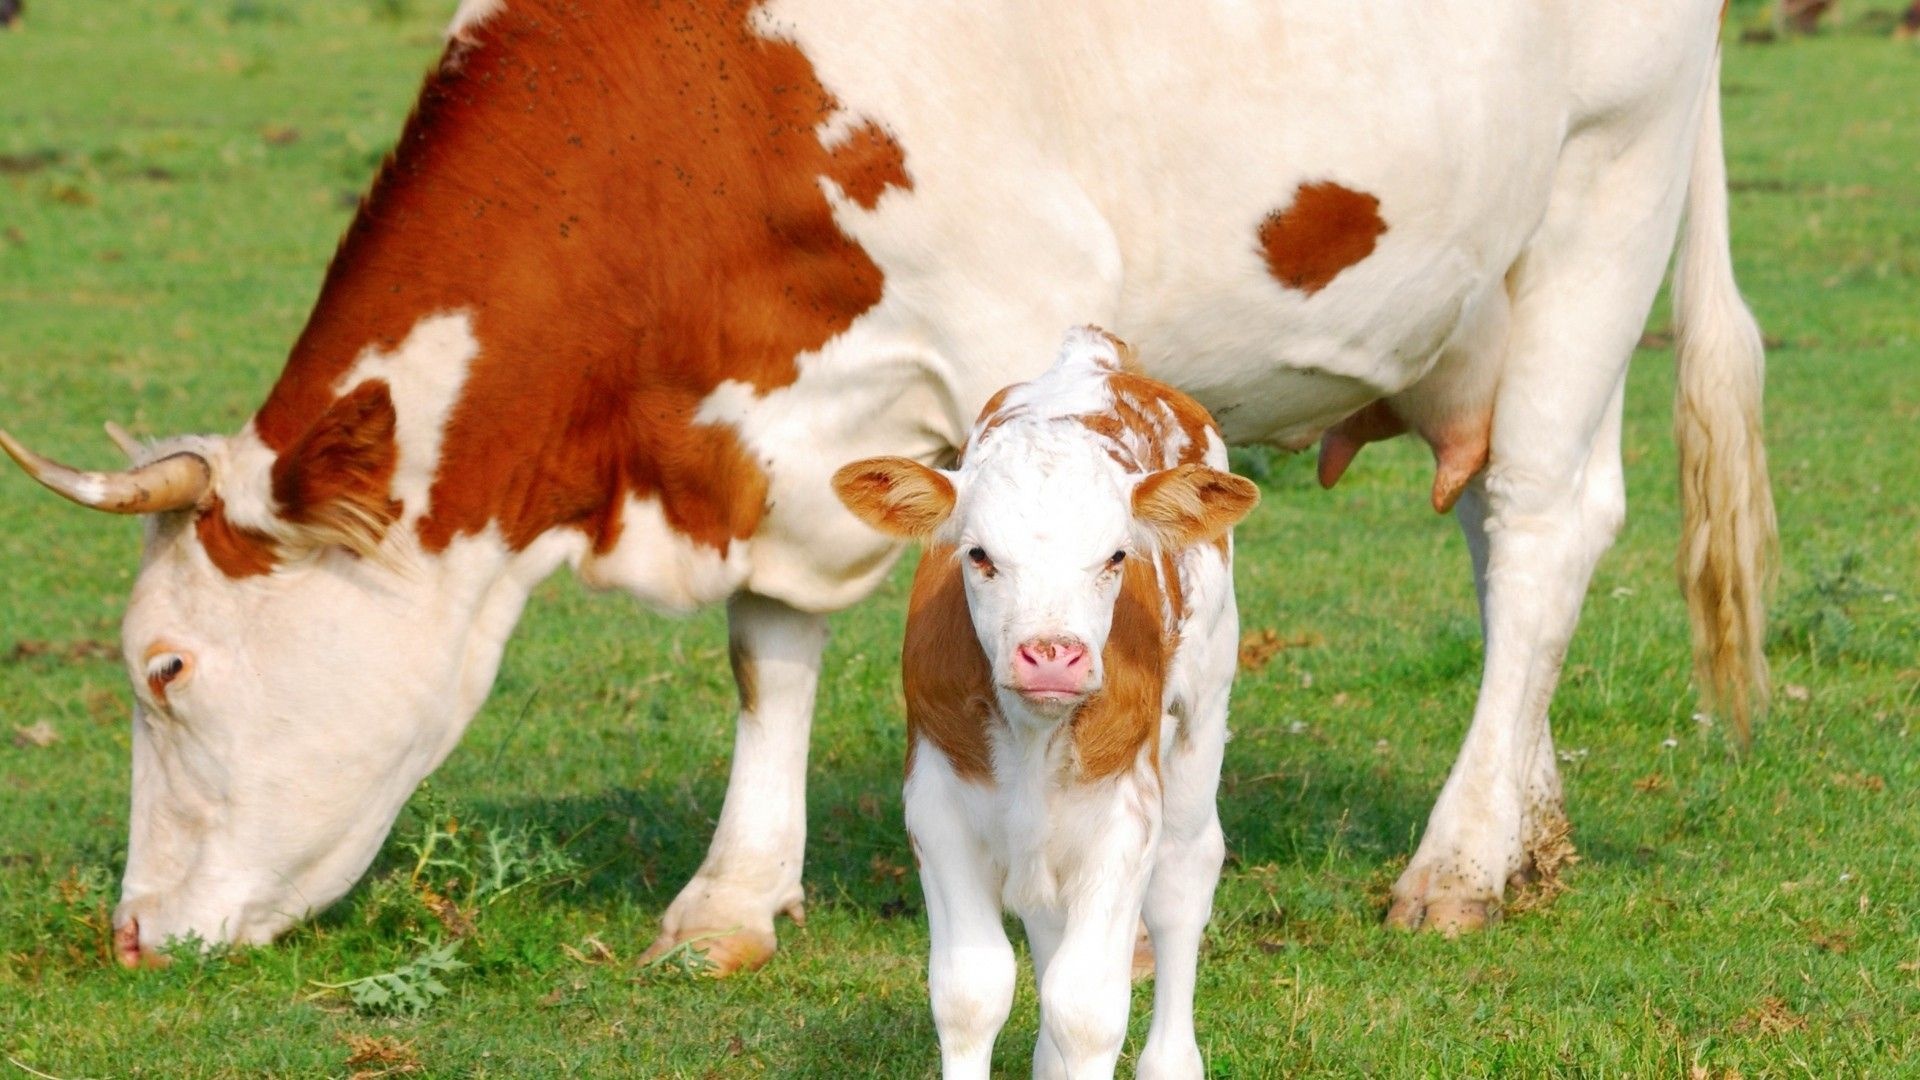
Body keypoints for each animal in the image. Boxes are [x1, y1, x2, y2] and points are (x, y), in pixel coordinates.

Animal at [0, 0, 1766, 957]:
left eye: (165, 671)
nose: (134, 935)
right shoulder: (771, 429)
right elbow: (769, 648)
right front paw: (731, 897)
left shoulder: (1022, 317)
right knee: (1497, 540)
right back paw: (1527, 829)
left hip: (1602, 193)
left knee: (1546, 529)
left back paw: (1457, 865)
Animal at [829, 328, 1251, 1076]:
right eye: (978, 555)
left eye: (1116, 556)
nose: (1052, 654)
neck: (1032, 735)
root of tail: (1095, 355)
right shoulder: (936, 803)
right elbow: (971, 992)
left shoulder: (1124, 813)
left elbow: (1086, 1008)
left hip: (1203, 710)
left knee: (1182, 882)